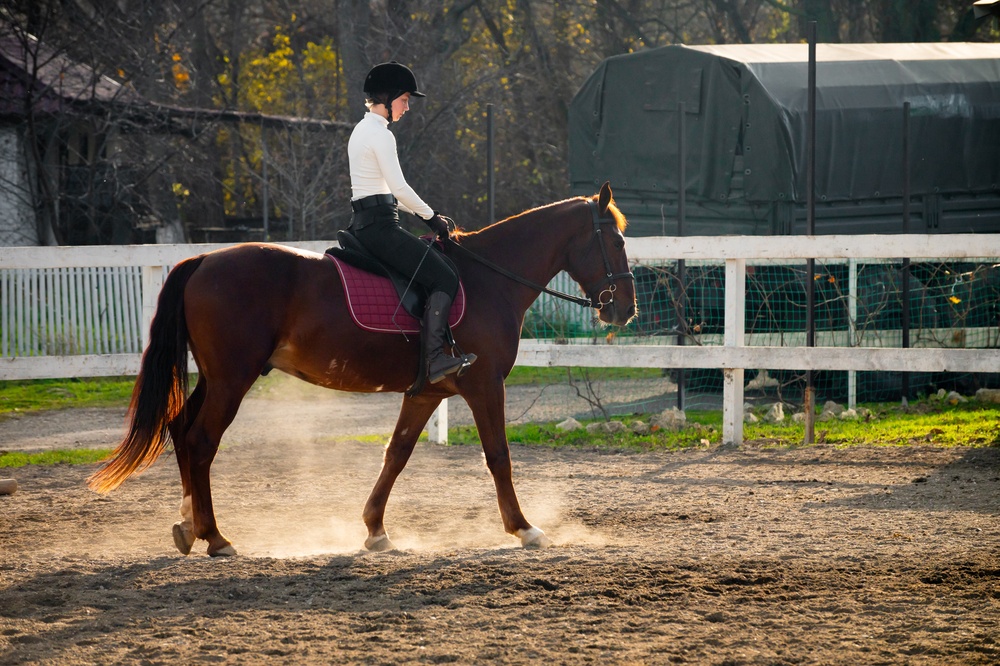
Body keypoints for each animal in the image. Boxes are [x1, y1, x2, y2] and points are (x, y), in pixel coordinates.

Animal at [88, 182, 636, 556]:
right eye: (616, 241)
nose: (624, 310)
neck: (489, 280)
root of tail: (203, 260)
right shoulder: (484, 387)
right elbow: (498, 456)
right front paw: (524, 528)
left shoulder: (426, 393)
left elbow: (396, 455)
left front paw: (375, 530)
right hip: (231, 380)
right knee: (200, 441)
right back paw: (216, 537)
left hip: (216, 377)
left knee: (181, 431)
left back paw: (188, 527)